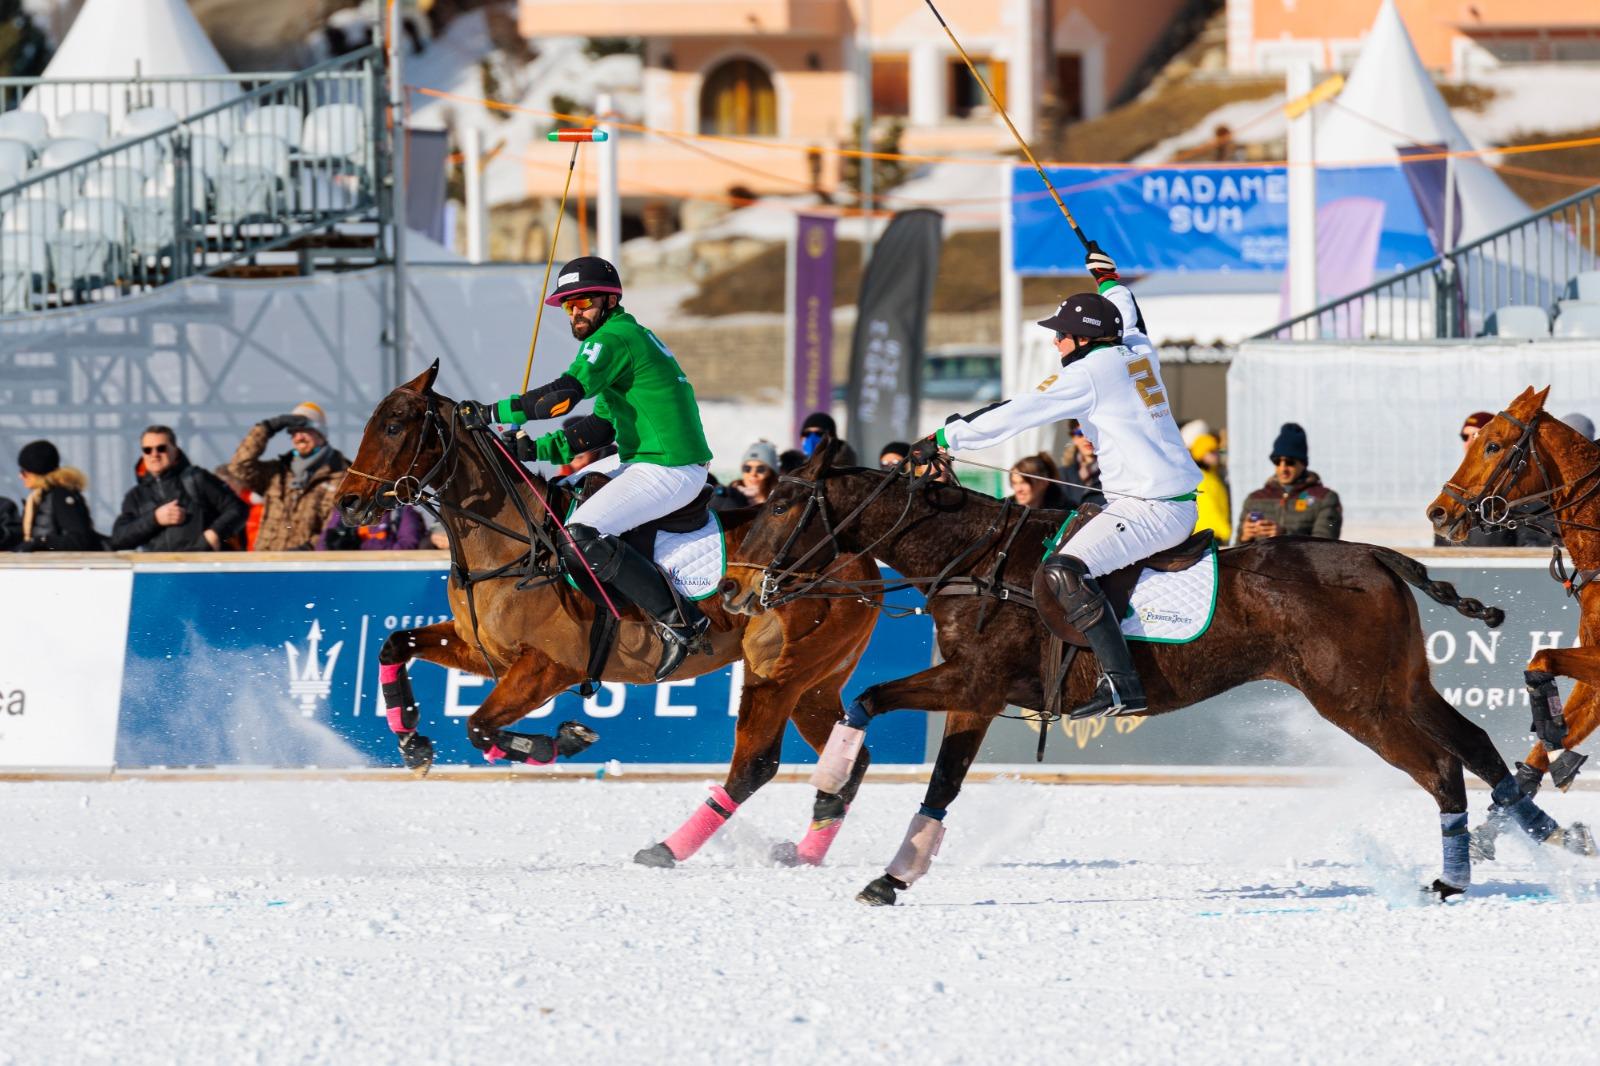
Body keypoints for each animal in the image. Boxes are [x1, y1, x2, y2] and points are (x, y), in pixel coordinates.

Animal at [337, 361, 883, 870]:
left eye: (395, 425)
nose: (348, 503)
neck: (515, 541)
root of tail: (858, 554)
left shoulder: (551, 666)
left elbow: (478, 726)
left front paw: (561, 740)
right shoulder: (480, 649)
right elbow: (396, 645)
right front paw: (412, 743)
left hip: (777, 673)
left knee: (755, 765)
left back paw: (668, 848)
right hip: (816, 683)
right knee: (850, 760)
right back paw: (807, 851)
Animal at [726, 441, 1587, 902]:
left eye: (785, 505)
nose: (736, 591)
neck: (974, 559)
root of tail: (1375, 552)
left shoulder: (973, 683)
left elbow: (867, 701)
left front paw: (831, 786)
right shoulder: (976, 695)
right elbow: (935, 779)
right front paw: (890, 871)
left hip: (1354, 700)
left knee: (1440, 767)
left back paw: (1453, 879)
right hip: (1398, 684)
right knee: (1475, 745)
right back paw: (1548, 836)